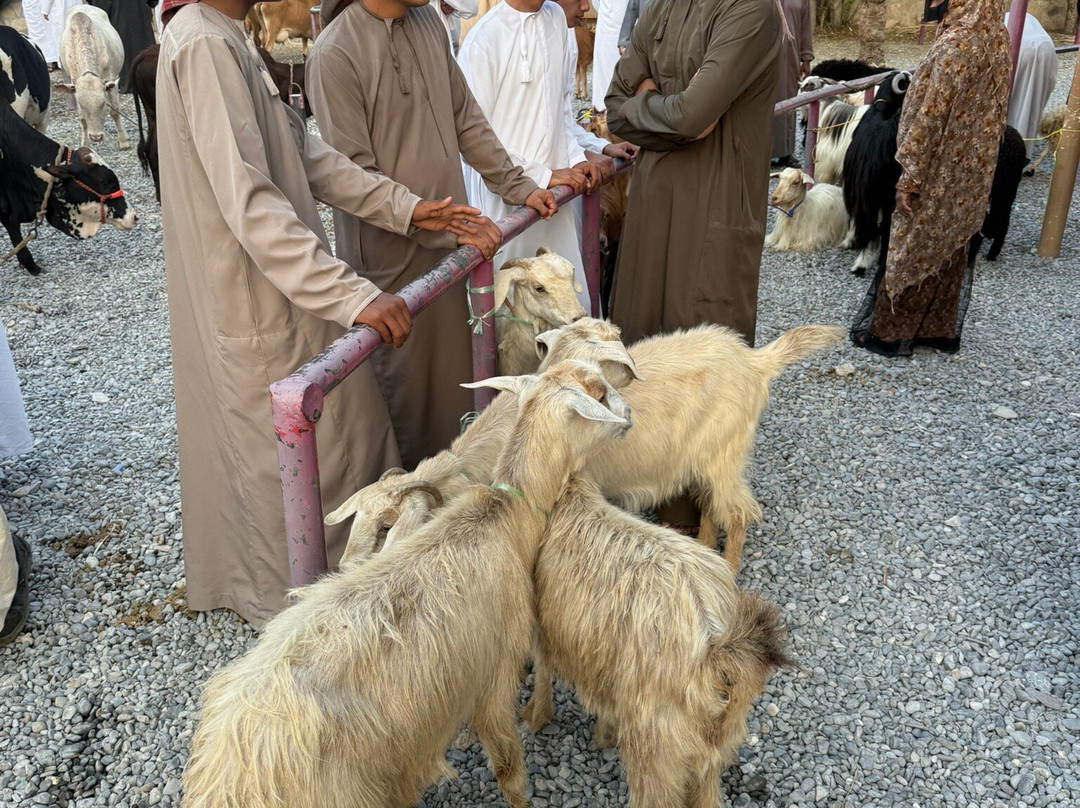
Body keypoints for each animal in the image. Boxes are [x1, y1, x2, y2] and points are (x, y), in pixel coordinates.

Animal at [56, 5, 130, 149]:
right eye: (81, 104)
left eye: (103, 103)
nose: (96, 137)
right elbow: (82, 119)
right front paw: (85, 143)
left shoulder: (111, 80)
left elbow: (115, 111)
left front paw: (124, 140)